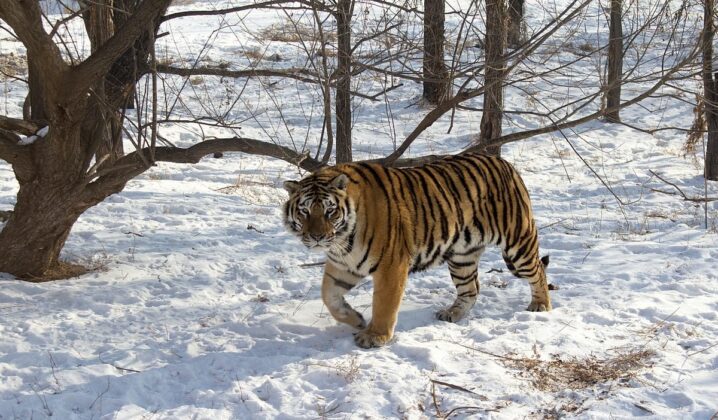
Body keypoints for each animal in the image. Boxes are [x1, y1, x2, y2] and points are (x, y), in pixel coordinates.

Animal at [282, 152, 551, 348]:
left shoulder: (391, 266)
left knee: (538, 270)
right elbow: (329, 296)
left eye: (330, 211)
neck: (343, 241)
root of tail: (505, 162)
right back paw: (452, 313)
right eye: (305, 211)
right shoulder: (343, 265)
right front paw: (357, 320)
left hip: (518, 243)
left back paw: (540, 306)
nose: (317, 237)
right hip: (462, 256)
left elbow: (384, 303)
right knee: (471, 289)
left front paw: (375, 336)